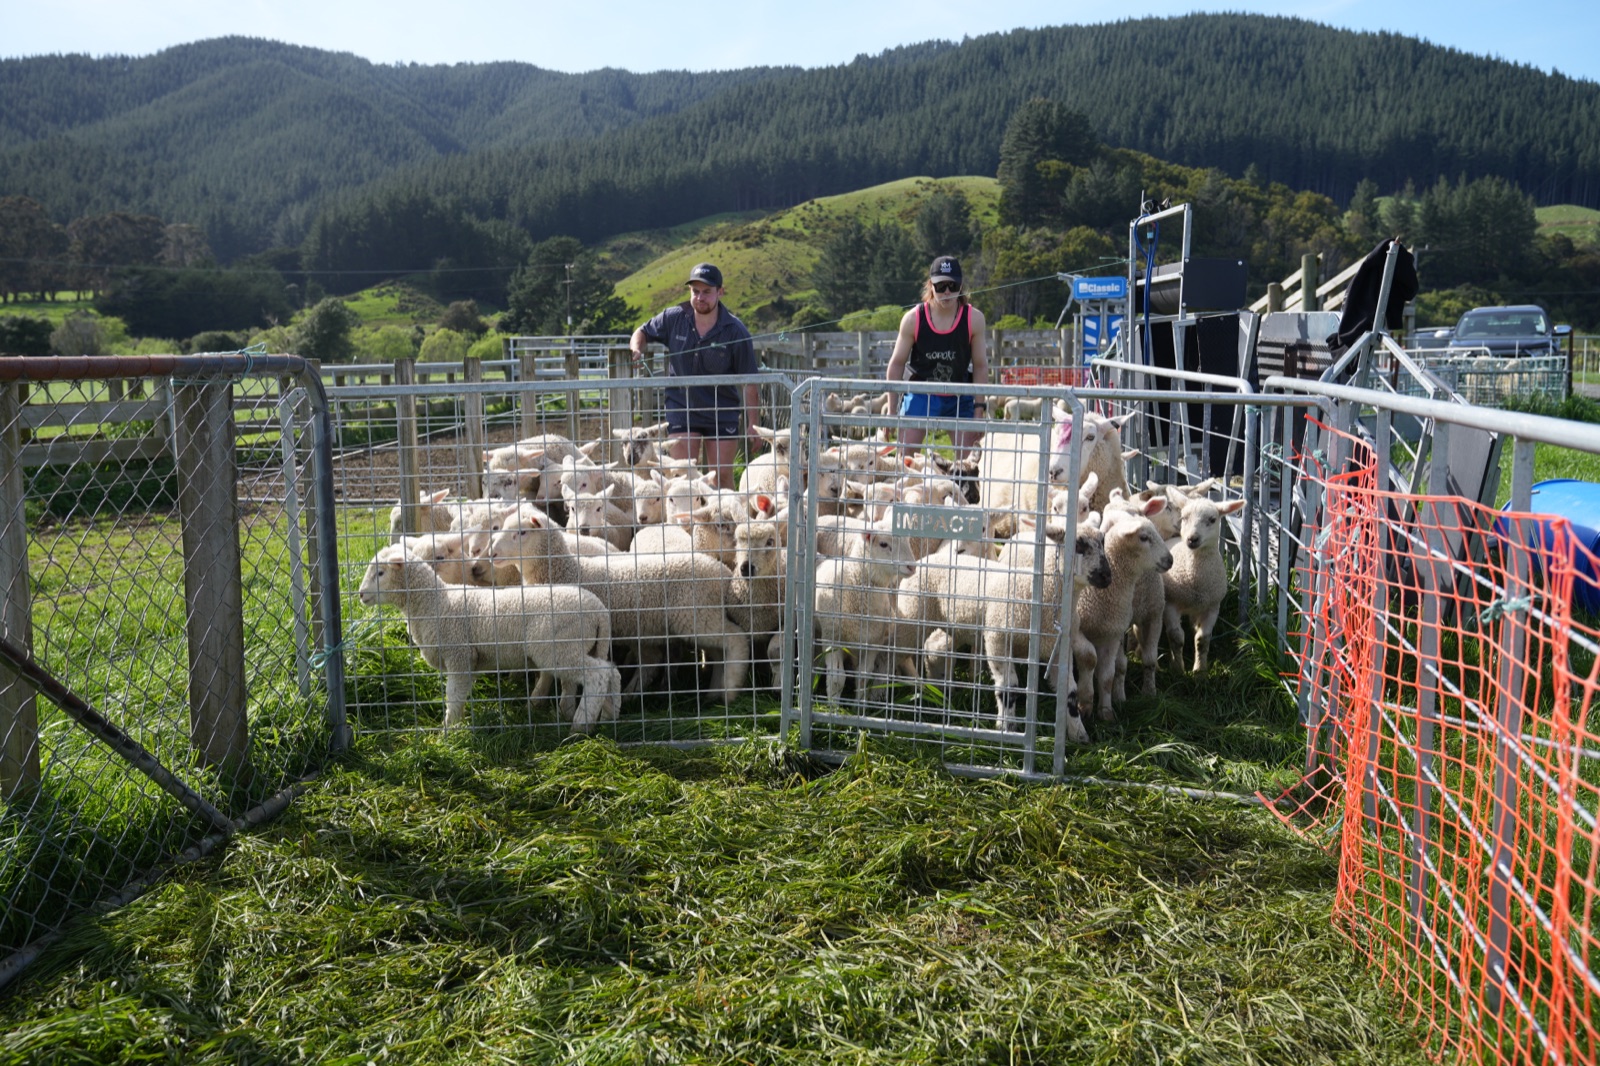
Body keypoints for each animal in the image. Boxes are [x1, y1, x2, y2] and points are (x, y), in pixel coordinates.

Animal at [357, 544, 621, 732]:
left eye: (380, 573)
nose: (360, 594)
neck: (435, 603)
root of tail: (598, 610)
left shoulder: (459, 654)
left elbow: (453, 695)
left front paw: (448, 731)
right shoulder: (470, 661)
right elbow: (461, 695)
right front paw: (457, 724)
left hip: (561, 649)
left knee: (598, 675)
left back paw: (581, 725)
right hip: (582, 646)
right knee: (611, 672)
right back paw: (610, 715)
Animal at [487, 511, 750, 702]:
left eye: (521, 532)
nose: (492, 554)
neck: (567, 571)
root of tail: (723, 572)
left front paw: (537, 699)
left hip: (695, 615)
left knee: (735, 640)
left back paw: (730, 690)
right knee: (718, 652)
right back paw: (713, 692)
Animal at [1162, 494, 1246, 673]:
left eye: (1212, 519)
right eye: (1184, 518)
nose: (1192, 539)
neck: (1196, 579)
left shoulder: (1212, 607)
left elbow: (1202, 639)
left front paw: (1200, 670)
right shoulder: (1170, 604)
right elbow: (1176, 637)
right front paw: (1178, 668)